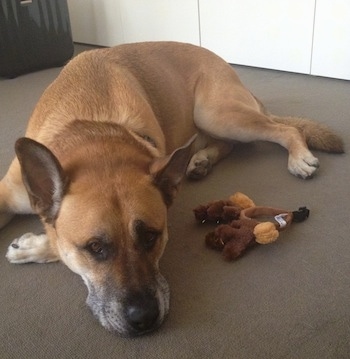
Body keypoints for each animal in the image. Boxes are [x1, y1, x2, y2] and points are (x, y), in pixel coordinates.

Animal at [0, 42, 344, 338]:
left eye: (152, 237)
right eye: (95, 248)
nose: (144, 319)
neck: (94, 131)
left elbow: (56, 244)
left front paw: (34, 246)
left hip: (217, 114)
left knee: (284, 129)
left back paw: (297, 156)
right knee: (231, 143)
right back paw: (202, 159)